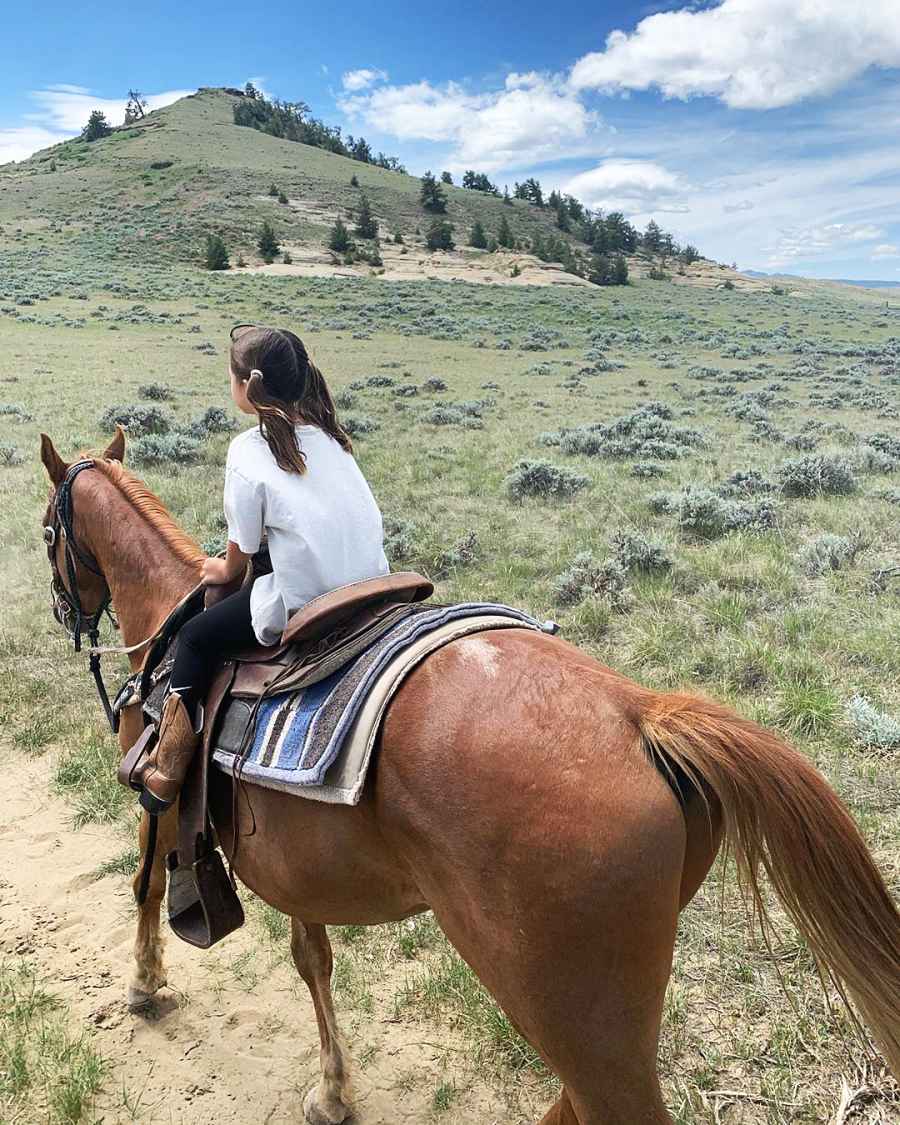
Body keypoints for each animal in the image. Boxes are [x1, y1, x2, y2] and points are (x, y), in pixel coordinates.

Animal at [40, 425, 900, 1120]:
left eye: (49, 529)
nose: (64, 610)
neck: (168, 612)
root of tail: (639, 712)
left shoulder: (155, 801)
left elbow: (146, 884)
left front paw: (144, 984)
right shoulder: (293, 866)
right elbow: (312, 957)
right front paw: (332, 1090)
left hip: (579, 1020)